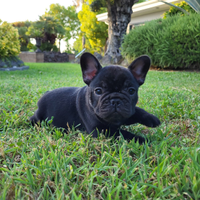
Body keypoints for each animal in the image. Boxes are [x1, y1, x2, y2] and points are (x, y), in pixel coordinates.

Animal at [30, 52, 161, 143]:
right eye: (98, 91)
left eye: (131, 91)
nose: (115, 100)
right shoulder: (101, 131)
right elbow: (124, 134)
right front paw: (142, 139)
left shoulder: (126, 112)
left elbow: (136, 111)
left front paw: (152, 119)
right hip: (39, 117)